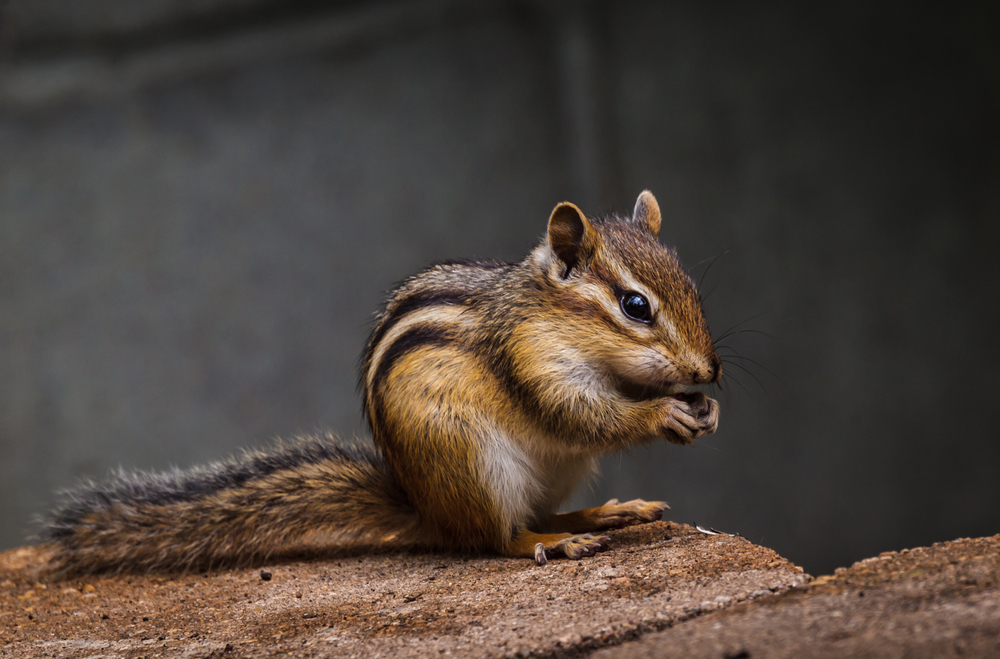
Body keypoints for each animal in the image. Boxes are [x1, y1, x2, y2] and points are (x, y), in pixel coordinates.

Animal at [41, 190, 721, 575]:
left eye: (694, 288)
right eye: (635, 306)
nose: (707, 371)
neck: (553, 318)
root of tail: (427, 510)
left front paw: (705, 409)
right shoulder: (528, 361)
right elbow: (579, 414)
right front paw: (661, 413)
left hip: (555, 471)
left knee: (545, 511)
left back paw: (603, 515)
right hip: (473, 460)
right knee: (498, 537)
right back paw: (554, 544)